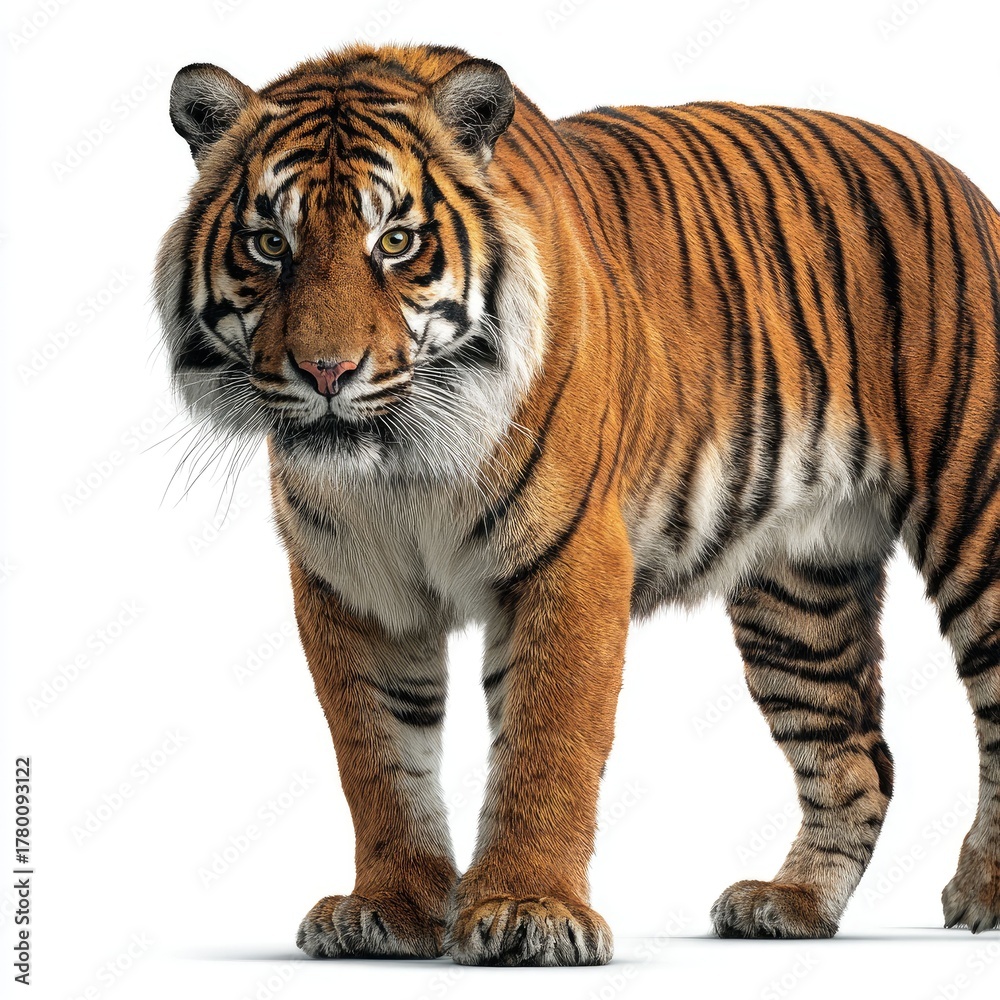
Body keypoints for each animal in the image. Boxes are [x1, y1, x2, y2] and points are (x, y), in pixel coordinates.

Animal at [154, 42, 1000, 965]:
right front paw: (390, 908)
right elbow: (377, 755)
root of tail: (963, 181)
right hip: (799, 594)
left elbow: (546, 742)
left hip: (979, 524)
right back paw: (793, 903)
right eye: (271, 244)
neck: (401, 464)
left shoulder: (572, 561)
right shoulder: (350, 585)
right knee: (856, 760)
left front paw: (529, 910)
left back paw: (981, 893)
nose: (327, 372)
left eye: (397, 242)